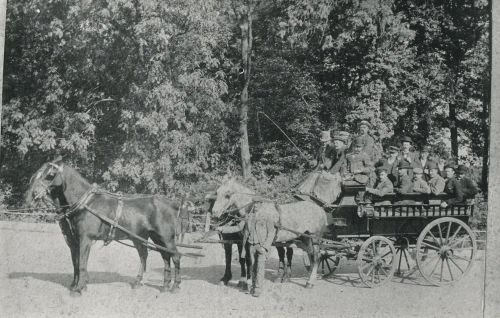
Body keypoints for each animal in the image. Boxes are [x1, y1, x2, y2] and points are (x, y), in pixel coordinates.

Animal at [24, 158, 183, 294]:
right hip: (149, 237)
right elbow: (76, 263)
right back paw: (160, 285)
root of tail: (172, 203)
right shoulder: (74, 241)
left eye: (50, 175)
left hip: (166, 237)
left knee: (174, 256)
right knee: (160, 256)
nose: (30, 196)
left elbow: (82, 263)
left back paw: (175, 286)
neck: (85, 203)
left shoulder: (85, 239)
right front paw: (76, 285)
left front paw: (79, 289)